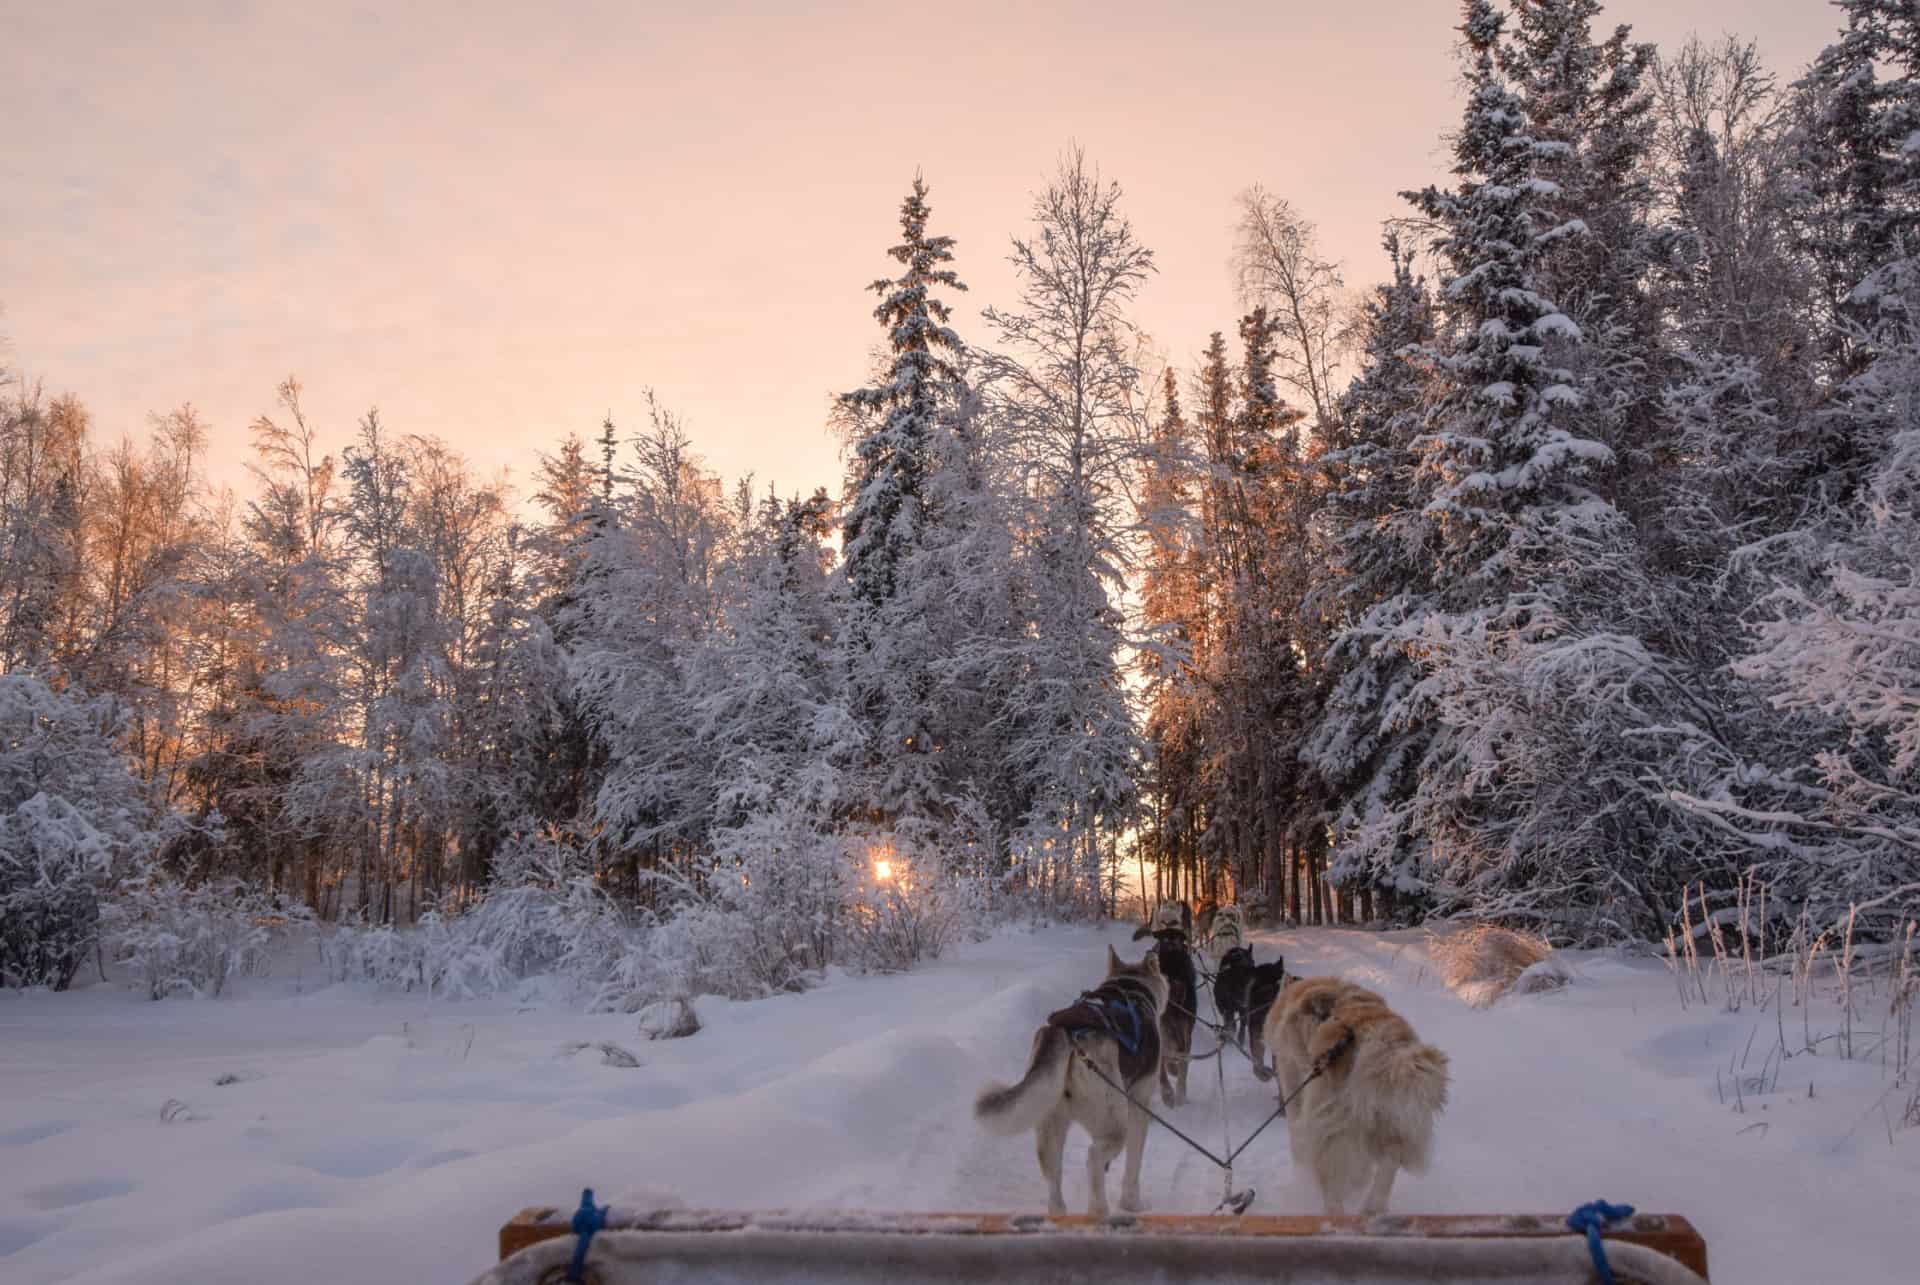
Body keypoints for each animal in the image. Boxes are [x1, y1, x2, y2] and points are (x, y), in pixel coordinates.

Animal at [1267, 971, 1443, 1213]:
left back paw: (1336, 1213)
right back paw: (1372, 1208)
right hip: (1393, 1122)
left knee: (1332, 1184)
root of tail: (1381, 1043)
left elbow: (1298, 1145)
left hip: (1330, 1127)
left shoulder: (1293, 1085)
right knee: (1390, 1161)